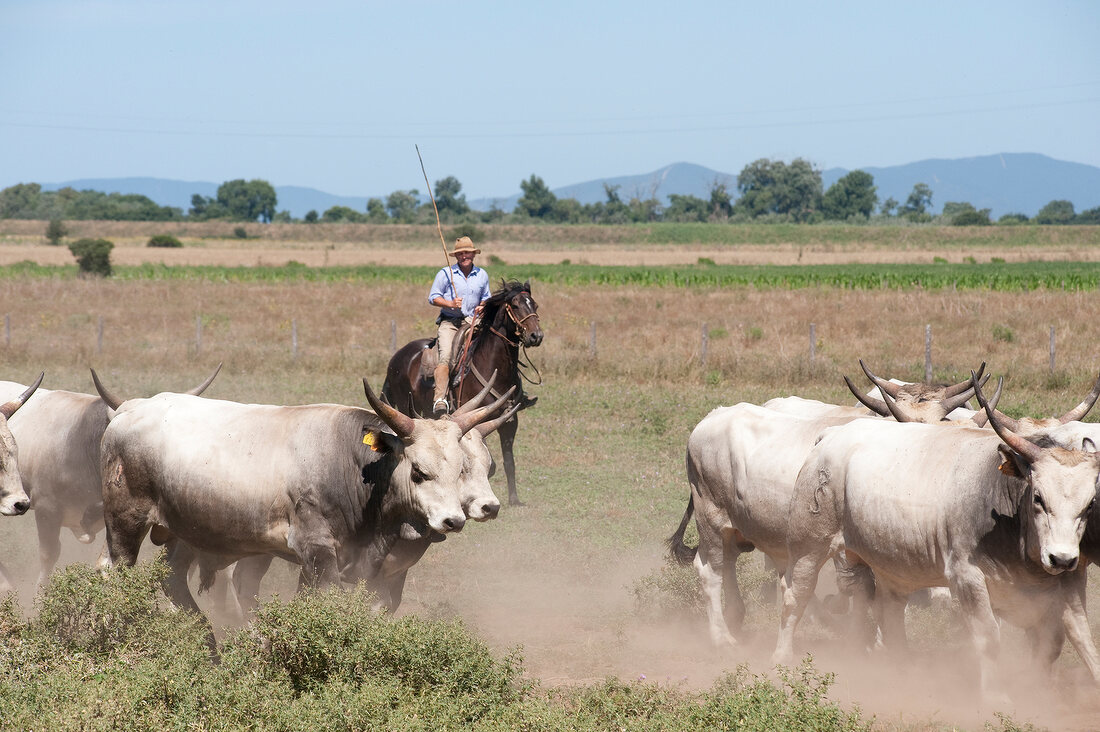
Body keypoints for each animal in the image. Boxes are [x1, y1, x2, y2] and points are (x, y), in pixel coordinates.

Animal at [382, 277, 545, 506]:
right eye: (515, 305)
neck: (493, 367)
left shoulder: (509, 421)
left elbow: (508, 461)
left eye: (535, 305)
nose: (535, 336)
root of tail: (396, 358)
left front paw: (514, 499)